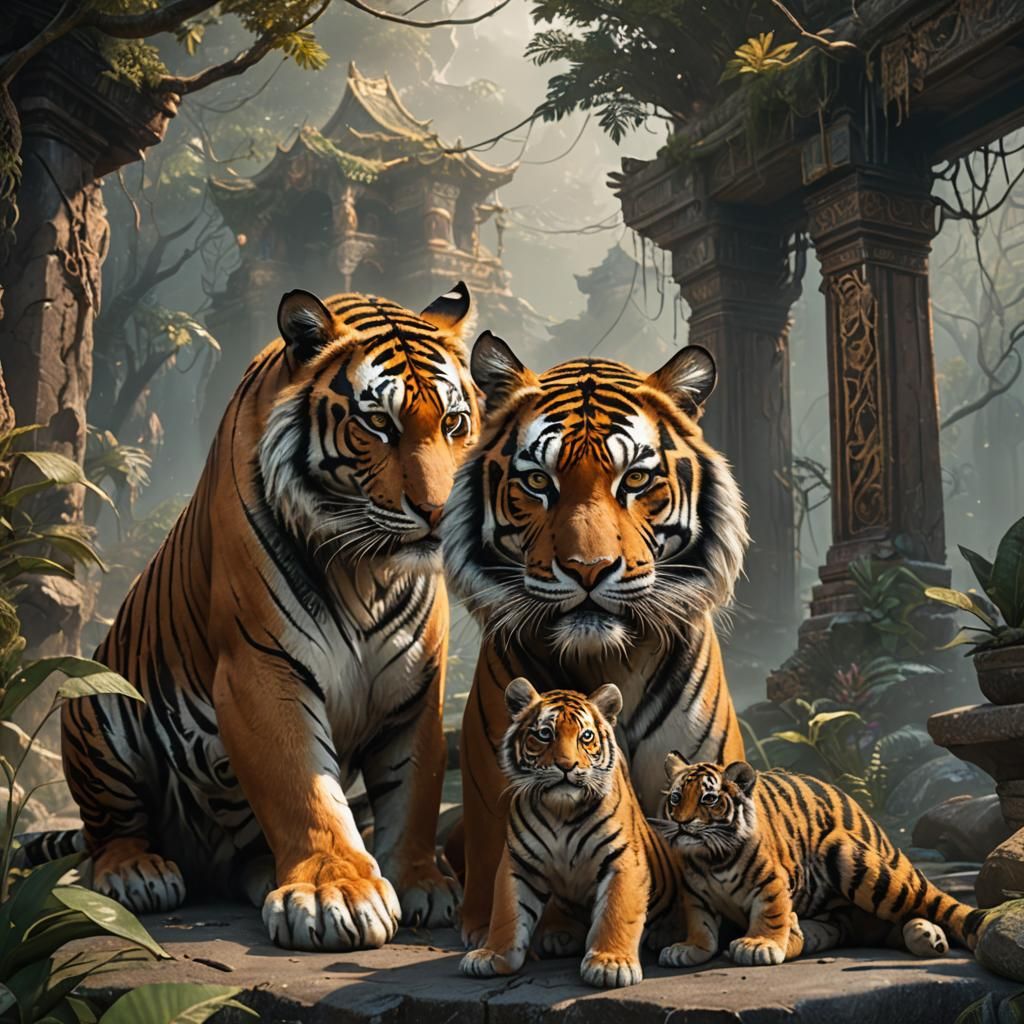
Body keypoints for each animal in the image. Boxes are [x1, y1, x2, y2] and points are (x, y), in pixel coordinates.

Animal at [23, 283, 481, 952]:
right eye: (378, 423)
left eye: (454, 423)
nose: (439, 512)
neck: (366, 570)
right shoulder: (262, 668)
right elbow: (303, 789)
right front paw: (336, 895)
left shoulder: (416, 684)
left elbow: (412, 791)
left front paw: (423, 881)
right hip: (97, 706)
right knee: (110, 827)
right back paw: (138, 872)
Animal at [459, 679, 687, 988]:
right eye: (545, 734)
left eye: (586, 736)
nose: (566, 766)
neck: (562, 811)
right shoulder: (518, 863)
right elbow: (507, 913)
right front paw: (492, 955)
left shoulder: (623, 859)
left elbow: (617, 911)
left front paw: (610, 964)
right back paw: (558, 936)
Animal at [654, 754, 988, 968]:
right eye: (676, 798)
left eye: (708, 799)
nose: (682, 823)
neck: (712, 857)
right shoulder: (695, 892)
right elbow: (700, 923)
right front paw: (688, 949)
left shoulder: (772, 882)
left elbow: (770, 912)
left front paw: (759, 945)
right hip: (837, 919)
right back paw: (926, 936)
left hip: (852, 858)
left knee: (937, 904)